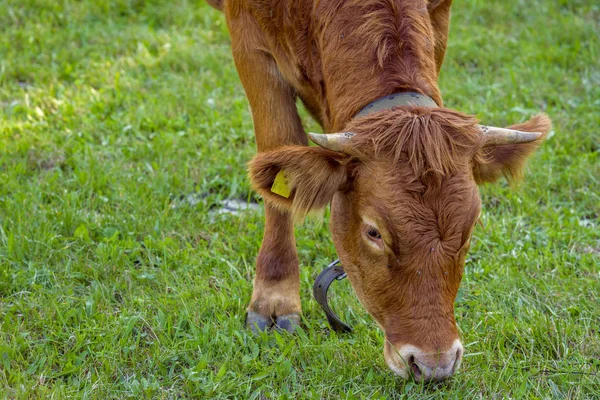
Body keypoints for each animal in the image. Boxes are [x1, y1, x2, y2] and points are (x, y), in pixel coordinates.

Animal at [209, 0, 552, 382]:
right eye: (373, 232)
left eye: (470, 229)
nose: (434, 364)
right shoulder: (250, 40)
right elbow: (278, 150)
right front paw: (273, 298)